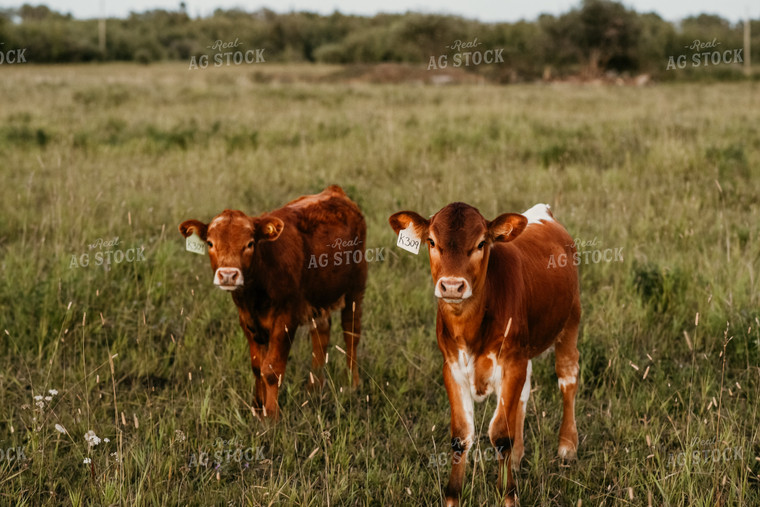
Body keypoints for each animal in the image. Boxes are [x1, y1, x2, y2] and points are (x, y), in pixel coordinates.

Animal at [180, 187, 366, 420]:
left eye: (250, 244)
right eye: (210, 243)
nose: (228, 275)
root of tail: (334, 191)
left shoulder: (285, 320)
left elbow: (271, 370)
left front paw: (271, 416)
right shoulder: (247, 322)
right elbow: (257, 366)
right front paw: (257, 408)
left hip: (355, 287)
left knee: (351, 334)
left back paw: (353, 383)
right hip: (319, 296)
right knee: (321, 335)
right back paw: (314, 387)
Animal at [388, 203, 580, 507]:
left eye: (481, 243)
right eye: (431, 241)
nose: (452, 286)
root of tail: (542, 212)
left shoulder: (511, 363)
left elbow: (500, 434)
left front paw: (508, 495)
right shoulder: (452, 367)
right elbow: (461, 436)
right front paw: (453, 497)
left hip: (570, 321)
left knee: (567, 378)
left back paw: (567, 445)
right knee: (524, 395)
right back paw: (517, 457)